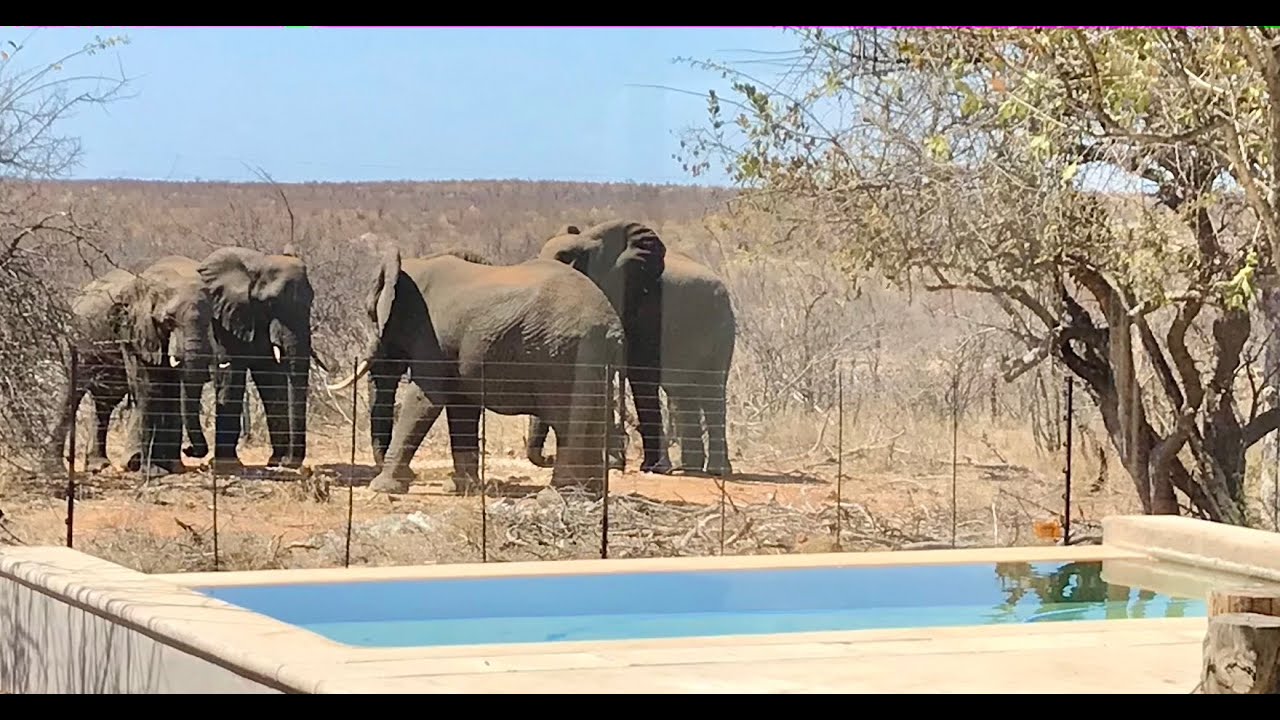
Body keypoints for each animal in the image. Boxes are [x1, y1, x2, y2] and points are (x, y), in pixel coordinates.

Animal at [45, 256, 215, 475]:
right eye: (168, 320)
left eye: (211, 319)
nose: (189, 449)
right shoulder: (133, 330)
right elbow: (149, 387)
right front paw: (153, 471)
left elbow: (173, 390)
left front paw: (173, 467)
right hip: (77, 338)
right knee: (73, 390)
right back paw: (55, 467)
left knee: (106, 401)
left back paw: (99, 465)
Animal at [197, 246, 321, 473]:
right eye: (271, 302)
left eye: (311, 301)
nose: (290, 462)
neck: (257, 263)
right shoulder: (225, 318)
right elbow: (232, 376)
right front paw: (227, 466)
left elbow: (272, 380)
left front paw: (276, 462)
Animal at [325, 245, 626, 495]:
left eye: (370, 314)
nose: (414, 476)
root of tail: (612, 324)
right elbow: (462, 406)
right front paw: (461, 488)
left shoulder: (432, 336)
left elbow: (425, 398)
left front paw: (382, 488)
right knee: (593, 417)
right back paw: (589, 492)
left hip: (563, 353)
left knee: (566, 418)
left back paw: (559, 493)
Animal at [535, 220, 737, 477]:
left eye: (567, 261)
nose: (549, 458)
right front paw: (613, 465)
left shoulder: (646, 306)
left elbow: (641, 375)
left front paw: (654, 468)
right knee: (683, 392)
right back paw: (689, 468)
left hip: (721, 326)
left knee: (712, 390)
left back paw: (716, 471)